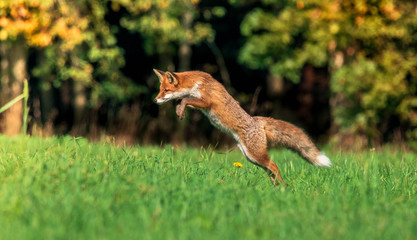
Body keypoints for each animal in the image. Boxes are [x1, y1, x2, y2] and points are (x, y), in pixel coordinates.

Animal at [151, 68, 330, 185]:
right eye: (160, 90)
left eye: (166, 90)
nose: (155, 100)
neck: (196, 83)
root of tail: (257, 120)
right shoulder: (199, 103)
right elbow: (183, 101)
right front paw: (179, 111)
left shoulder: (207, 102)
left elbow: (184, 99)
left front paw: (180, 109)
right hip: (251, 157)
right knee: (270, 170)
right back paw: (276, 188)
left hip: (256, 155)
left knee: (274, 166)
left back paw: (283, 188)